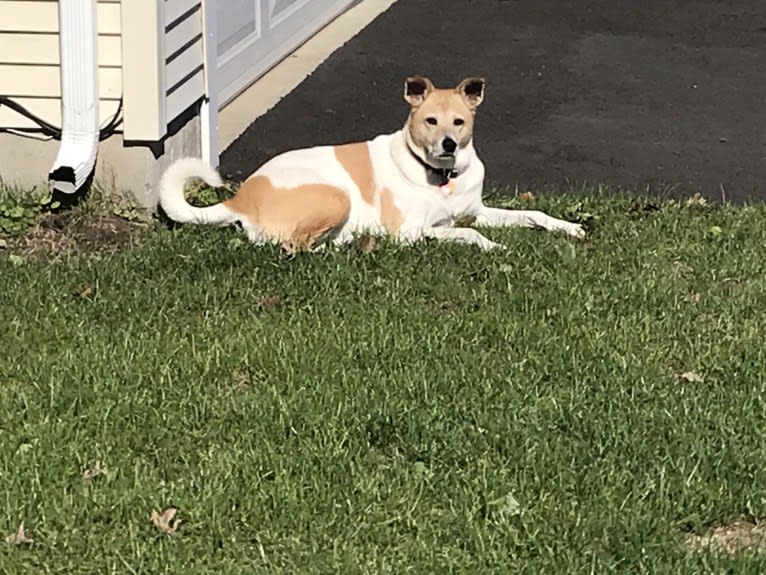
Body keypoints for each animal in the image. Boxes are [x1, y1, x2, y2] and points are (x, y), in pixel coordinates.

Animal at [159, 75, 584, 251]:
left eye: (459, 122)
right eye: (431, 121)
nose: (447, 144)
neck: (441, 176)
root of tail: (241, 199)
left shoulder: (476, 211)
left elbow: (532, 214)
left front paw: (568, 227)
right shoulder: (412, 232)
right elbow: (466, 234)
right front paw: (492, 245)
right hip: (335, 196)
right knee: (291, 246)